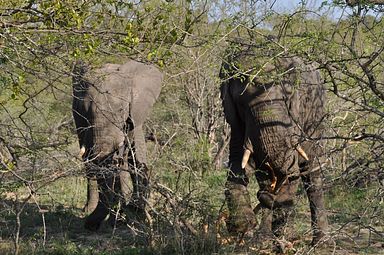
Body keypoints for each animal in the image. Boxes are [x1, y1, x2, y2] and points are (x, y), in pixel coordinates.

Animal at [71, 59, 162, 231]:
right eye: (84, 109)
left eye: (121, 110)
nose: (89, 226)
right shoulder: (79, 119)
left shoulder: (135, 115)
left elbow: (136, 159)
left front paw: (134, 216)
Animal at [220, 41, 328, 245]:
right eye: (241, 103)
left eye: (287, 97)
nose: (264, 196)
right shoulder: (236, 120)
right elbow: (241, 160)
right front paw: (243, 224)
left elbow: (291, 165)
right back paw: (268, 239)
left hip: (316, 115)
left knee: (311, 171)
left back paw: (319, 243)